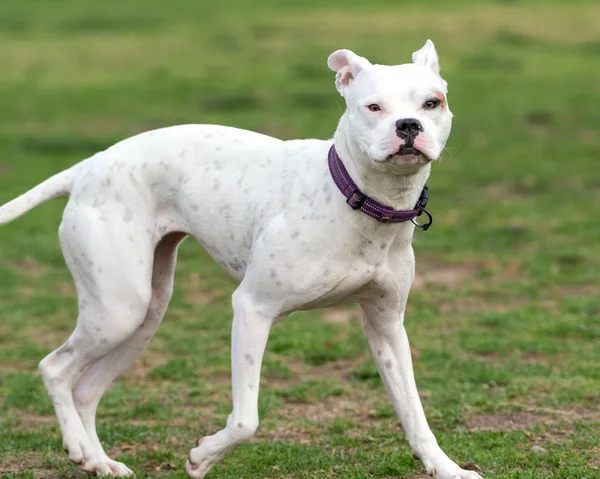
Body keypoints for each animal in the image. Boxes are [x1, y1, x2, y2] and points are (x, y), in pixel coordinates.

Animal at [0, 41, 480, 479]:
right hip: (118, 310)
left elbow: (414, 413)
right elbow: (247, 419)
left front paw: (447, 468)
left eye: (432, 103)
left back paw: (99, 462)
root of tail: (88, 166)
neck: (357, 199)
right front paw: (202, 457)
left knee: (87, 389)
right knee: (55, 368)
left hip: (143, 316)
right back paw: (80, 449)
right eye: (373, 107)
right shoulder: (253, 308)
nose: (408, 125)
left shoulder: (386, 326)